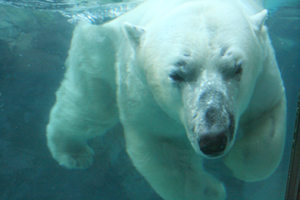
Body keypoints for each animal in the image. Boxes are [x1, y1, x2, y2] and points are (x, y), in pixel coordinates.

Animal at [46, 0, 286, 200]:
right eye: (176, 74)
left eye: (237, 68)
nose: (213, 138)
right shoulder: (145, 96)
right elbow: (162, 151)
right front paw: (212, 191)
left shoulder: (263, 79)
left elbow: (267, 120)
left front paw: (238, 161)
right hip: (98, 50)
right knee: (90, 110)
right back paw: (74, 153)